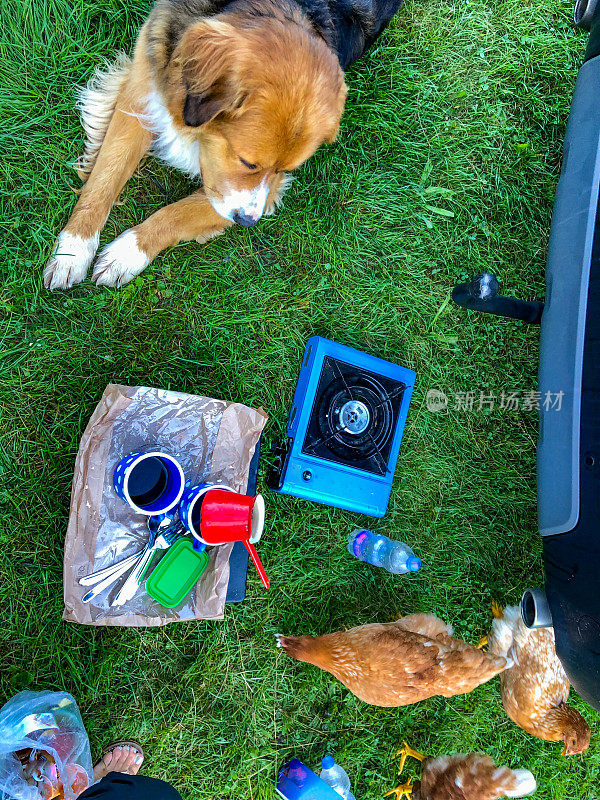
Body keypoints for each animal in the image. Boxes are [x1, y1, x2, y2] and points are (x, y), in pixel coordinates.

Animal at [45, 0, 404, 288]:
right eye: (248, 162)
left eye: (282, 170)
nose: (248, 222)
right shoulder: (140, 96)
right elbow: (103, 180)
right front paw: (73, 250)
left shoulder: (263, 192)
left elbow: (177, 213)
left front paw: (127, 253)